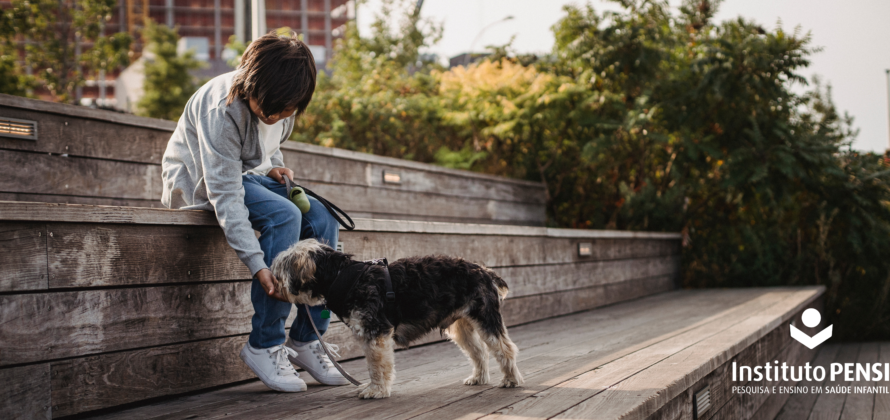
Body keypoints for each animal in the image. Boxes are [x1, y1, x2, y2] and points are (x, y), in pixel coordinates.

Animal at [270, 238, 520, 398]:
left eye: (280, 267)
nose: (271, 281)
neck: (343, 277)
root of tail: (484, 271)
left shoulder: (376, 333)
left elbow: (377, 365)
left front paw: (376, 390)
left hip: (486, 319)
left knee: (505, 349)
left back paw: (511, 380)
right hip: (462, 328)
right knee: (479, 352)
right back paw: (479, 377)